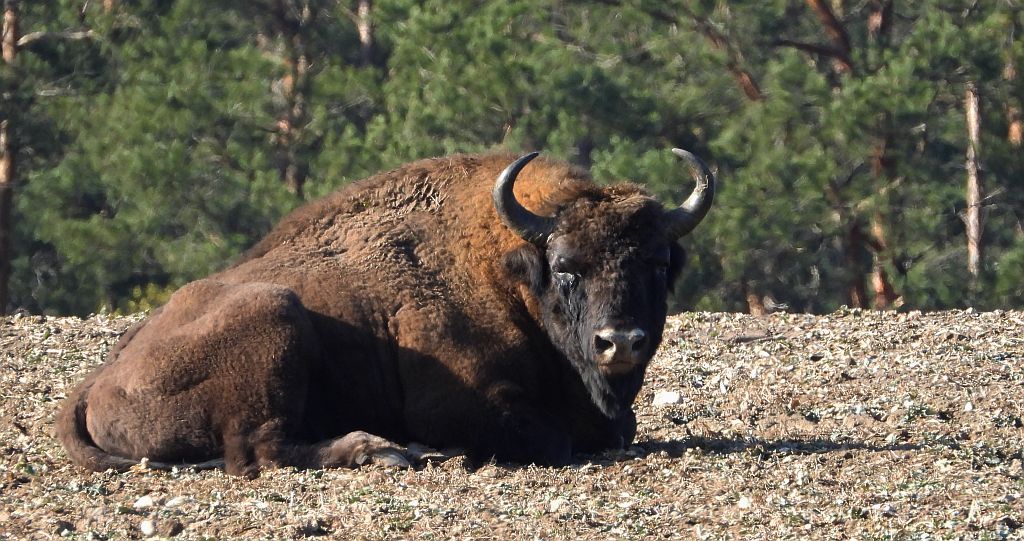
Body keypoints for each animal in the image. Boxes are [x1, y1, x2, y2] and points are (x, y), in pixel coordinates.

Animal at [57, 148, 715, 477]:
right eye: (566, 265)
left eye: (659, 263)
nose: (620, 341)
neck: (504, 270)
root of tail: (96, 381)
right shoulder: (460, 403)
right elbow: (553, 438)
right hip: (274, 314)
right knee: (259, 451)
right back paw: (386, 451)